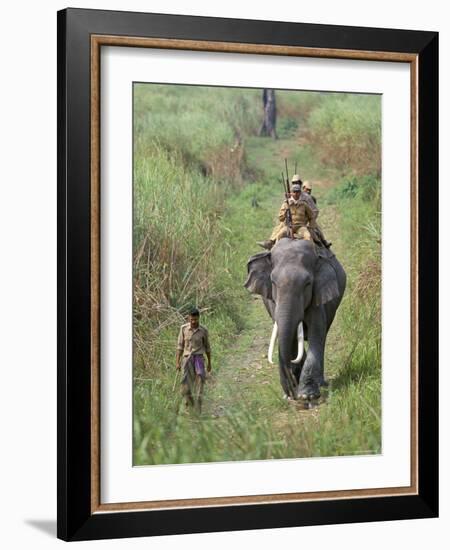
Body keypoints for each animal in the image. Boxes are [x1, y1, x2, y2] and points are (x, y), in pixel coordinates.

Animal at [244, 239, 346, 404]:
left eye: (307, 284)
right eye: (273, 282)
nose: (291, 393)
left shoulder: (317, 297)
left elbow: (316, 333)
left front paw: (307, 395)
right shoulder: (273, 302)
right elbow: (290, 339)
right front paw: (294, 390)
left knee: (322, 338)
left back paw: (320, 383)